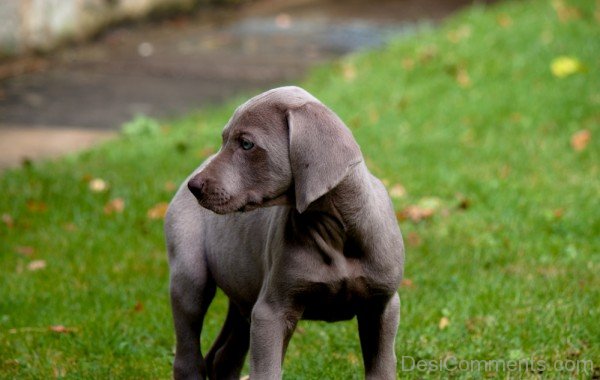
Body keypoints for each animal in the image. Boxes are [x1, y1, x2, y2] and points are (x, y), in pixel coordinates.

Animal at [166, 86, 406, 380]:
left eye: (246, 144)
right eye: (224, 139)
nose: (195, 186)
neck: (336, 233)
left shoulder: (383, 306)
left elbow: (382, 369)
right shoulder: (271, 312)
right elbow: (267, 371)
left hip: (244, 294)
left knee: (223, 357)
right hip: (190, 277)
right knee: (188, 356)